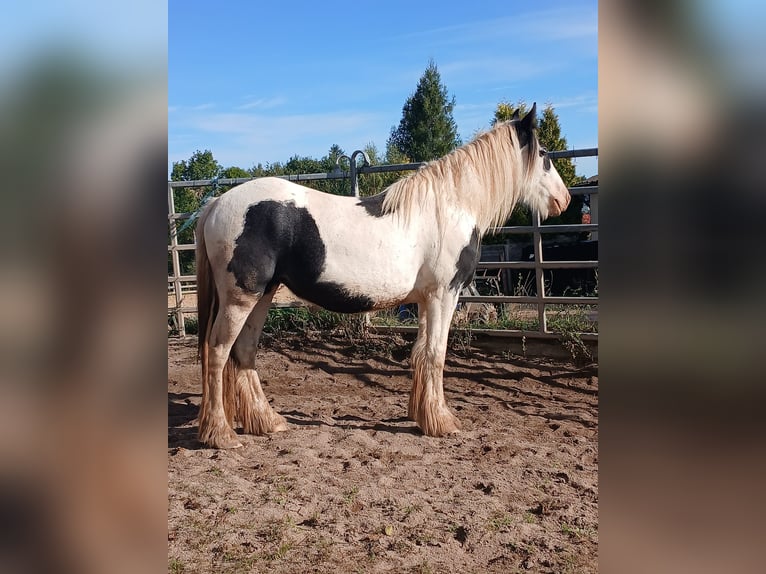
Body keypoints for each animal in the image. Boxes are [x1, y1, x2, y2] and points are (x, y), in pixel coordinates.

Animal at [195, 103, 572, 448]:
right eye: (544, 155)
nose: (564, 200)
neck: (452, 206)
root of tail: (217, 203)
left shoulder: (426, 300)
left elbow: (421, 353)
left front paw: (423, 416)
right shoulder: (444, 295)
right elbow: (436, 354)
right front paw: (444, 423)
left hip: (264, 294)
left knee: (244, 351)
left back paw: (268, 421)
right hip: (240, 299)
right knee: (217, 351)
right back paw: (221, 434)